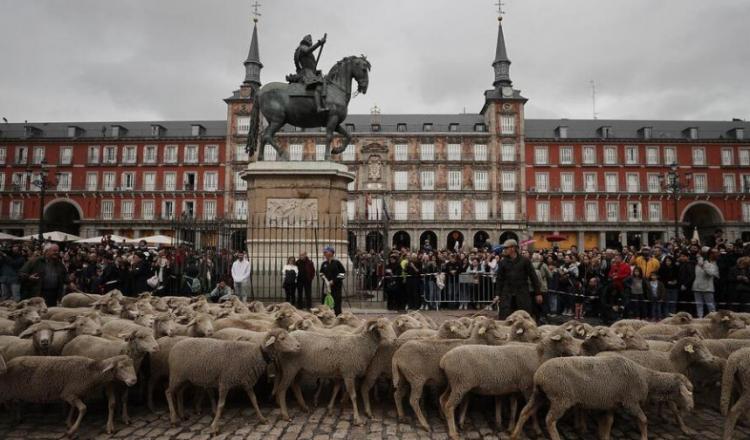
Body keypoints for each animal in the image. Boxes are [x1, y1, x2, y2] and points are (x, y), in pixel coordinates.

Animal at [0, 354, 137, 436]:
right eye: (121, 367)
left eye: (132, 365)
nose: (134, 380)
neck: (91, 371)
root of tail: (9, 362)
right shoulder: (69, 393)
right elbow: (83, 408)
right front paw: (72, 430)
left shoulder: (73, 394)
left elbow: (73, 407)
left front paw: (68, 423)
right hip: (6, 390)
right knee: (8, 403)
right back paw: (12, 418)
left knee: (15, 403)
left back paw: (17, 418)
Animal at [166, 330, 302, 434]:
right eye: (282, 338)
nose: (298, 346)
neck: (255, 354)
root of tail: (175, 346)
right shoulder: (224, 383)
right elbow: (221, 405)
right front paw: (214, 427)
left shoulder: (247, 382)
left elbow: (254, 400)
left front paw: (263, 419)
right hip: (176, 376)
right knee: (168, 392)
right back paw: (173, 419)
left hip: (186, 379)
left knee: (179, 392)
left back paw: (182, 415)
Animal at [440, 328, 576, 438]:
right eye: (566, 340)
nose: (576, 353)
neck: (539, 356)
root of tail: (444, 359)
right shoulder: (527, 388)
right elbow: (531, 412)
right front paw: (537, 430)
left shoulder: (515, 389)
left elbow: (513, 408)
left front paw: (510, 428)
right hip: (460, 384)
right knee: (449, 406)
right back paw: (453, 433)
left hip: (452, 384)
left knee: (442, 399)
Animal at [512, 356, 692, 440]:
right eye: (685, 391)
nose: (691, 408)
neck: (646, 378)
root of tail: (539, 375)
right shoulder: (631, 401)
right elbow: (643, 420)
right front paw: (644, 437)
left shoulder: (612, 403)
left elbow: (609, 422)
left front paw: (604, 436)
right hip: (560, 398)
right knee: (549, 420)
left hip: (540, 395)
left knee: (525, 412)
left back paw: (514, 434)